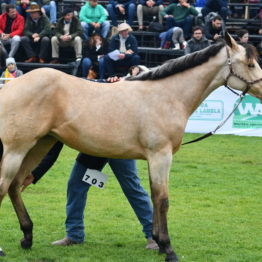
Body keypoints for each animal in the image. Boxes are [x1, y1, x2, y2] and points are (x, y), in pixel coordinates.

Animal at [0, 33, 262, 262]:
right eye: (250, 63)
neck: (167, 96)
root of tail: (9, 88)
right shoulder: (161, 156)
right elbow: (163, 199)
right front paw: (168, 249)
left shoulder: (155, 158)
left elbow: (153, 196)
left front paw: (158, 242)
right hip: (15, 150)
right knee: (4, 187)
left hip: (39, 146)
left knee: (14, 187)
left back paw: (27, 237)